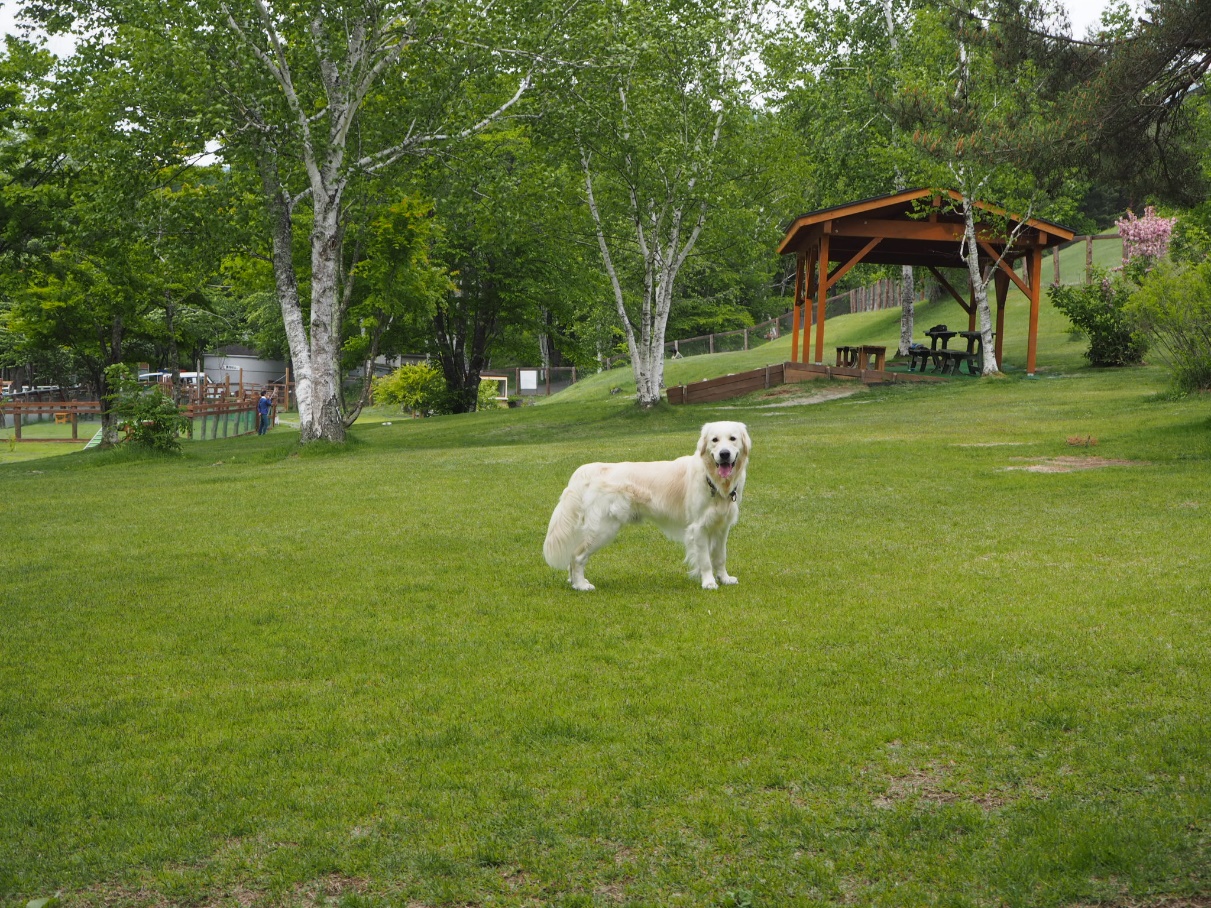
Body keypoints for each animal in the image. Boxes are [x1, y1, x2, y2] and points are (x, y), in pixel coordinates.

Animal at [547, 423, 750, 593]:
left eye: (732, 438)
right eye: (715, 440)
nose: (724, 454)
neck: (713, 480)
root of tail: (590, 469)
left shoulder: (722, 526)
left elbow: (720, 556)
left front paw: (724, 578)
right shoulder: (698, 527)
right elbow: (706, 560)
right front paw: (708, 582)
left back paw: (575, 583)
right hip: (603, 529)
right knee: (576, 556)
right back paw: (581, 585)